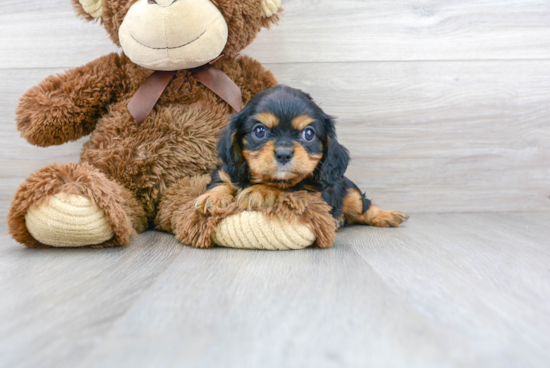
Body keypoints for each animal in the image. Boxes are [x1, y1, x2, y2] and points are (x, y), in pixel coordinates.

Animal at [195, 85, 410, 229]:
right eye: (259, 131)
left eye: (308, 134)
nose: (283, 154)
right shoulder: (229, 169)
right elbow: (223, 180)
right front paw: (213, 197)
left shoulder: (314, 193)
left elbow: (289, 188)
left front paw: (261, 191)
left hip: (350, 191)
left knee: (363, 206)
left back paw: (387, 215)